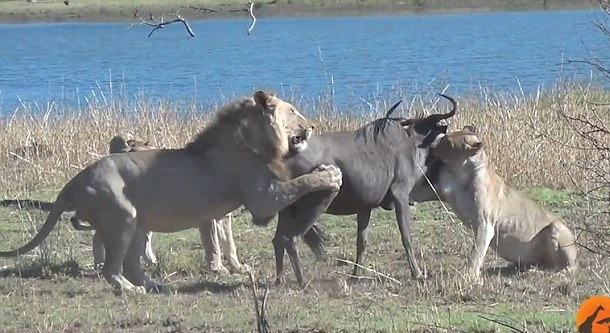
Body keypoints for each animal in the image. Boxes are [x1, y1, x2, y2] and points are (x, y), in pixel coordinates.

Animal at [0, 91, 342, 294]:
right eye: (293, 110)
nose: (312, 126)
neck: (253, 141)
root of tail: (74, 180)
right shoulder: (262, 198)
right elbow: (300, 183)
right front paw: (330, 175)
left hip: (136, 223)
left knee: (131, 264)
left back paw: (154, 284)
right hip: (122, 217)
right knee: (113, 269)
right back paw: (131, 290)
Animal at [408, 124, 576, 280]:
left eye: (447, 141)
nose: (433, 144)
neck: (461, 173)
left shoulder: (485, 224)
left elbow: (476, 254)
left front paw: (469, 278)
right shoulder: (431, 191)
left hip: (555, 228)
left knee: (564, 268)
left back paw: (535, 272)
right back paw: (526, 268)